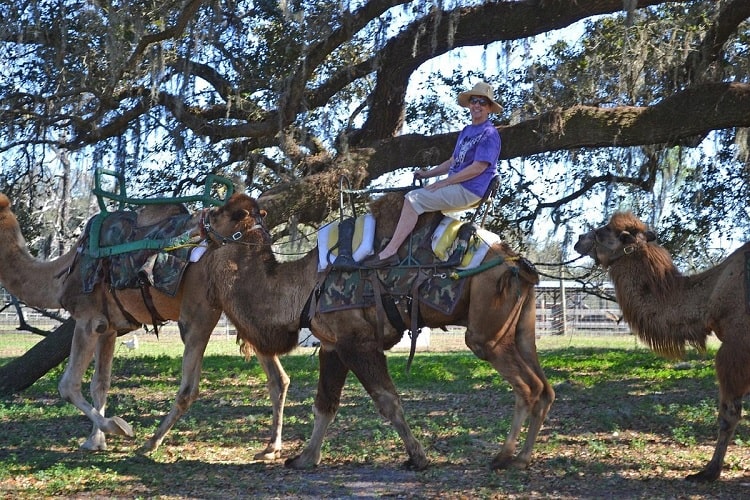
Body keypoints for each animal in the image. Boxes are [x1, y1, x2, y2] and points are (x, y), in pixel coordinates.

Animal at [0, 193, 296, 458]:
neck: (61, 276)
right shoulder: (108, 327)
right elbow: (100, 384)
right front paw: (95, 441)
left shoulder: (88, 319)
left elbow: (68, 385)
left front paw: (119, 428)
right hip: (238, 309)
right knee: (278, 377)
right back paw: (271, 448)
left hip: (199, 313)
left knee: (189, 387)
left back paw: (151, 442)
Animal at [206, 190, 560, 468]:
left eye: (223, 213)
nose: (201, 216)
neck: (303, 288)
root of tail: (517, 265)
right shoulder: (333, 345)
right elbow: (325, 403)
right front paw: (305, 458)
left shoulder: (358, 343)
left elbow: (387, 401)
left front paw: (418, 457)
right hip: (521, 330)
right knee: (545, 388)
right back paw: (522, 457)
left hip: (486, 334)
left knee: (528, 387)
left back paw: (505, 457)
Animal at [576, 210, 750, 480]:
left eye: (605, 230)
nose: (579, 239)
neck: (711, 295)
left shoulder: (736, 348)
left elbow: (728, 415)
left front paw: (708, 472)